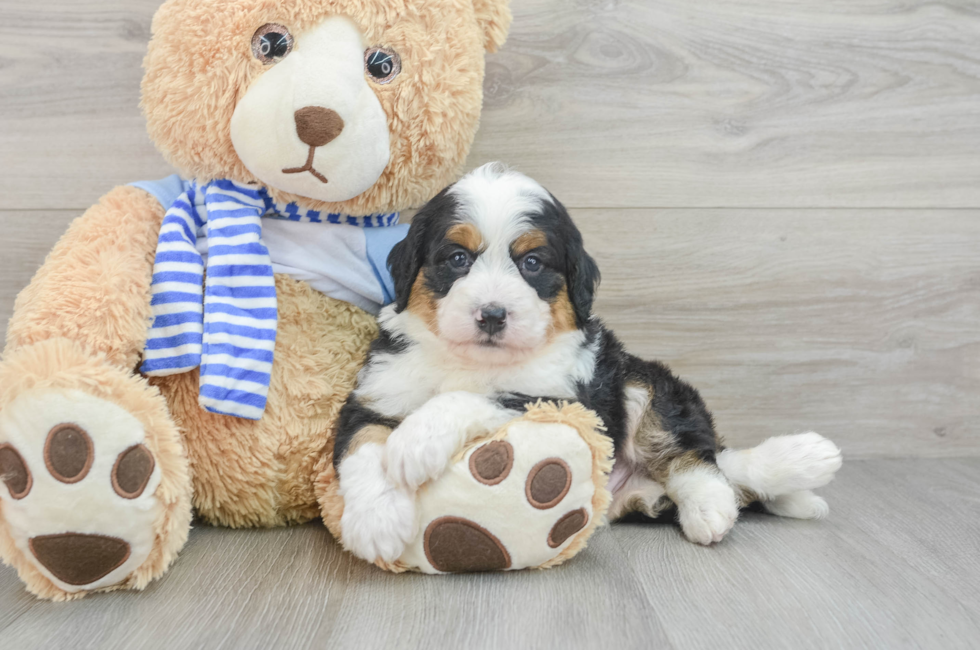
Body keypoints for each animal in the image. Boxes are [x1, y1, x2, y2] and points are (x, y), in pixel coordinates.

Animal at [334, 163, 844, 560]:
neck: (471, 361)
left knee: (698, 457)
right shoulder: (376, 392)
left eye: (532, 263)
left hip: (642, 381)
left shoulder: (570, 400)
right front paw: (376, 523)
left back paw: (720, 502)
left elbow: (480, 397)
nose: (492, 315)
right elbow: (364, 444)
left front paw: (415, 441)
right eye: (457, 257)